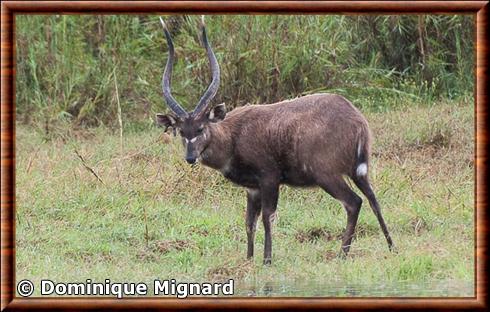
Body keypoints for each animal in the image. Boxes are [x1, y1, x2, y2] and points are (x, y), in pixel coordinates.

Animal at [155, 18, 392, 264]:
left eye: (201, 128)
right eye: (181, 131)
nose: (190, 157)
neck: (234, 137)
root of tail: (358, 122)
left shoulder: (269, 178)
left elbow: (268, 217)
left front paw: (267, 260)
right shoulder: (253, 188)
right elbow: (249, 222)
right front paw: (249, 259)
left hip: (327, 174)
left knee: (354, 202)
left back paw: (342, 254)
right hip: (358, 171)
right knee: (373, 199)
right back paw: (391, 246)